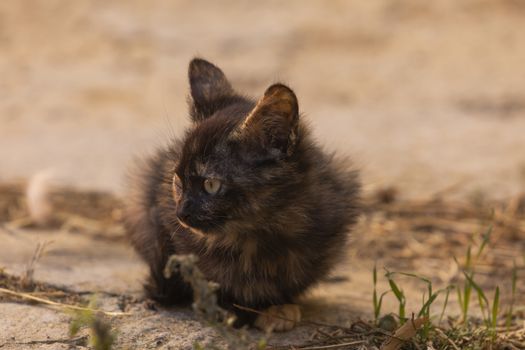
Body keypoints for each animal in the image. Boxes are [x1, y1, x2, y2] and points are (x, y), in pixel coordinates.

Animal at [124, 58, 360, 330]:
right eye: (177, 180)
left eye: (211, 184)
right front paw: (226, 308)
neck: (255, 235)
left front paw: (277, 307)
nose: (181, 213)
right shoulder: (155, 214)